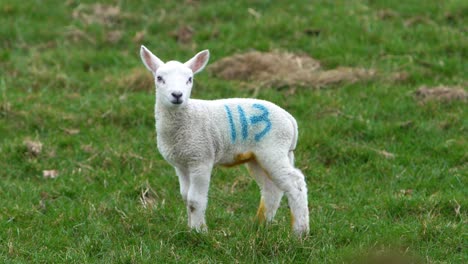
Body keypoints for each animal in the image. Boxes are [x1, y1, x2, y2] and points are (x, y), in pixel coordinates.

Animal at [138, 45, 310, 235]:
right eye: (159, 78)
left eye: (190, 79)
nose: (177, 95)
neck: (186, 117)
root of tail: (289, 118)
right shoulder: (181, 164)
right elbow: (185, 196)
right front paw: (190, 228)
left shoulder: (201, 158)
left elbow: (195, 199)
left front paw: (199, 231)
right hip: (259, 156)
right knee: (271, 189)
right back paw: (259, 226)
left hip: (273, 148)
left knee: (295, 183)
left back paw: (300, 232)